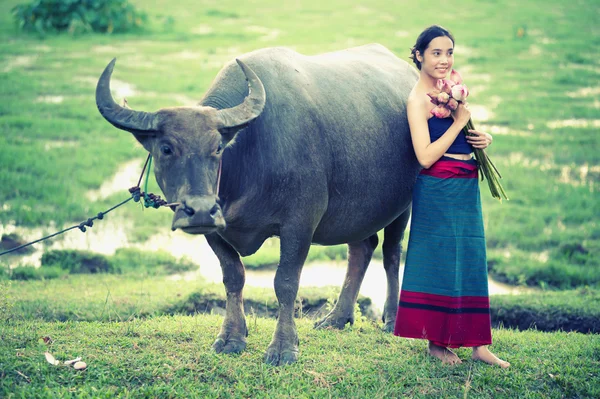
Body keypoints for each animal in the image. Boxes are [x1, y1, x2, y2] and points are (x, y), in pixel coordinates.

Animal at [96, 43, 420, 366]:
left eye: (218, 148)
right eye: (166, 148)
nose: (199, 210)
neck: (251, 156)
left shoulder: (300, 223)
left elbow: (285, 282)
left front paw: (283, 347)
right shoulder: (216, 229)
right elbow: (233, 277)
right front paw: (231, 337)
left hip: (403, 204)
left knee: (391, 253)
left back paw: (391, 319)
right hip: (359, 212)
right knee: (362, 248)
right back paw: (337, 319)